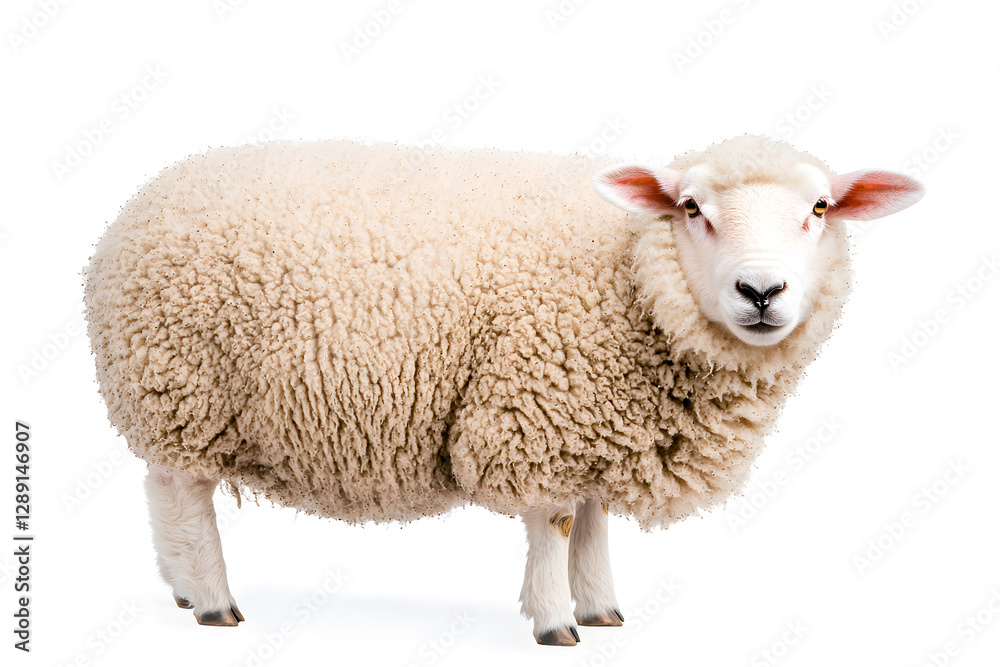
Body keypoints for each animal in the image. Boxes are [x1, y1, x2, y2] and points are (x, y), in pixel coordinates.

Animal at [83, 135, 924, 644]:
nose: (761, 290)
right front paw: (555, 623)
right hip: (182, 387)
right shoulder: (536, 412)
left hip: (168, 396)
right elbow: (556, 522)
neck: (631, 277)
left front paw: (602, 606)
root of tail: (135, 208)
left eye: (819, 208)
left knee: (162, 492)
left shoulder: (595, 420)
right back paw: (213, 600)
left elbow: (593, 521)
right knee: (187, 496)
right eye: (691, 207)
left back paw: (181, 587)